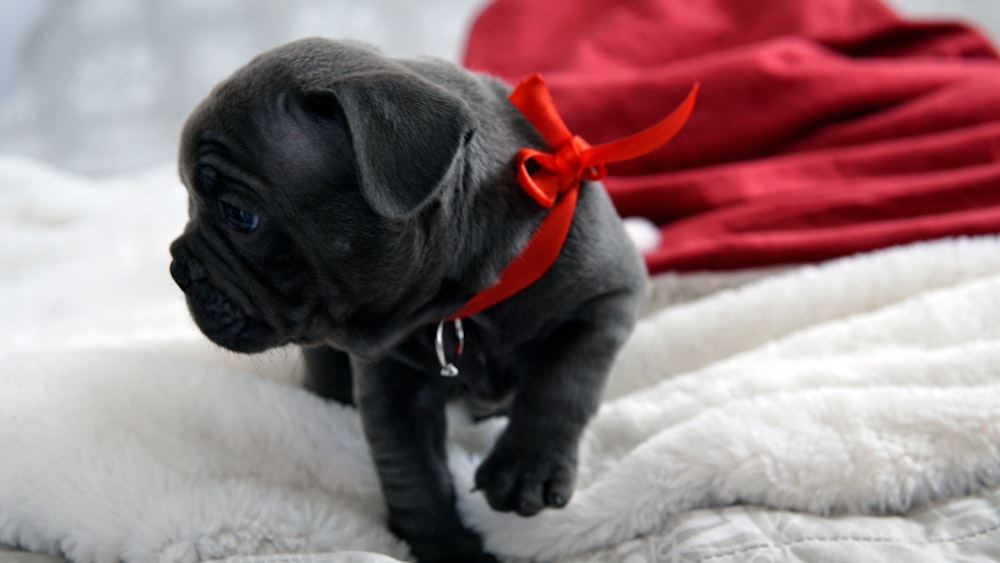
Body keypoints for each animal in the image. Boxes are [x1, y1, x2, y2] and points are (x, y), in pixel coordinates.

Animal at [168, 39, 644, 563]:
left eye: (240, 216)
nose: (177, 268)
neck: (459, 305)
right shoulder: (392, 386)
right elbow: (414, 474)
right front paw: (445, 547)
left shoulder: (605, 301)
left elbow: (561, 383)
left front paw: (526, 466)